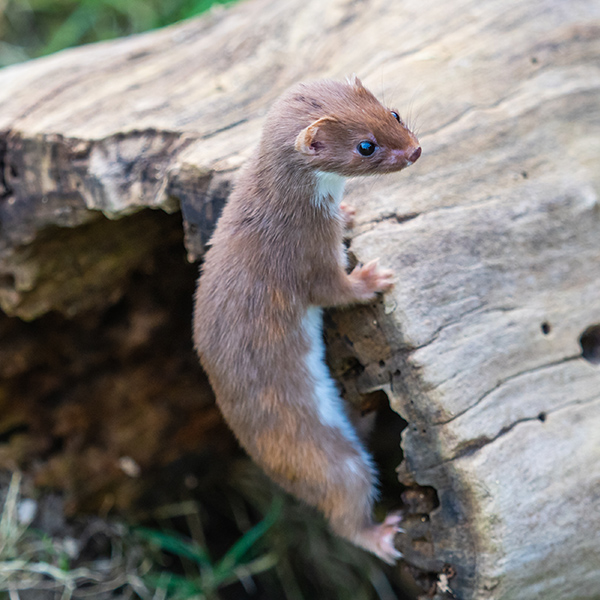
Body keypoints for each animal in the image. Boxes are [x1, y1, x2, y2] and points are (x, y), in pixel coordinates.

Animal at [195, 75, 420, 564]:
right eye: (365, 146)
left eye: (393, 113)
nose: (415, 150)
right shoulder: (302, 255)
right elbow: (333, 290)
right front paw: (373, 277)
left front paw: (350, 214)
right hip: (337, 463)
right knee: (343, 515)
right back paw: (384, 535)